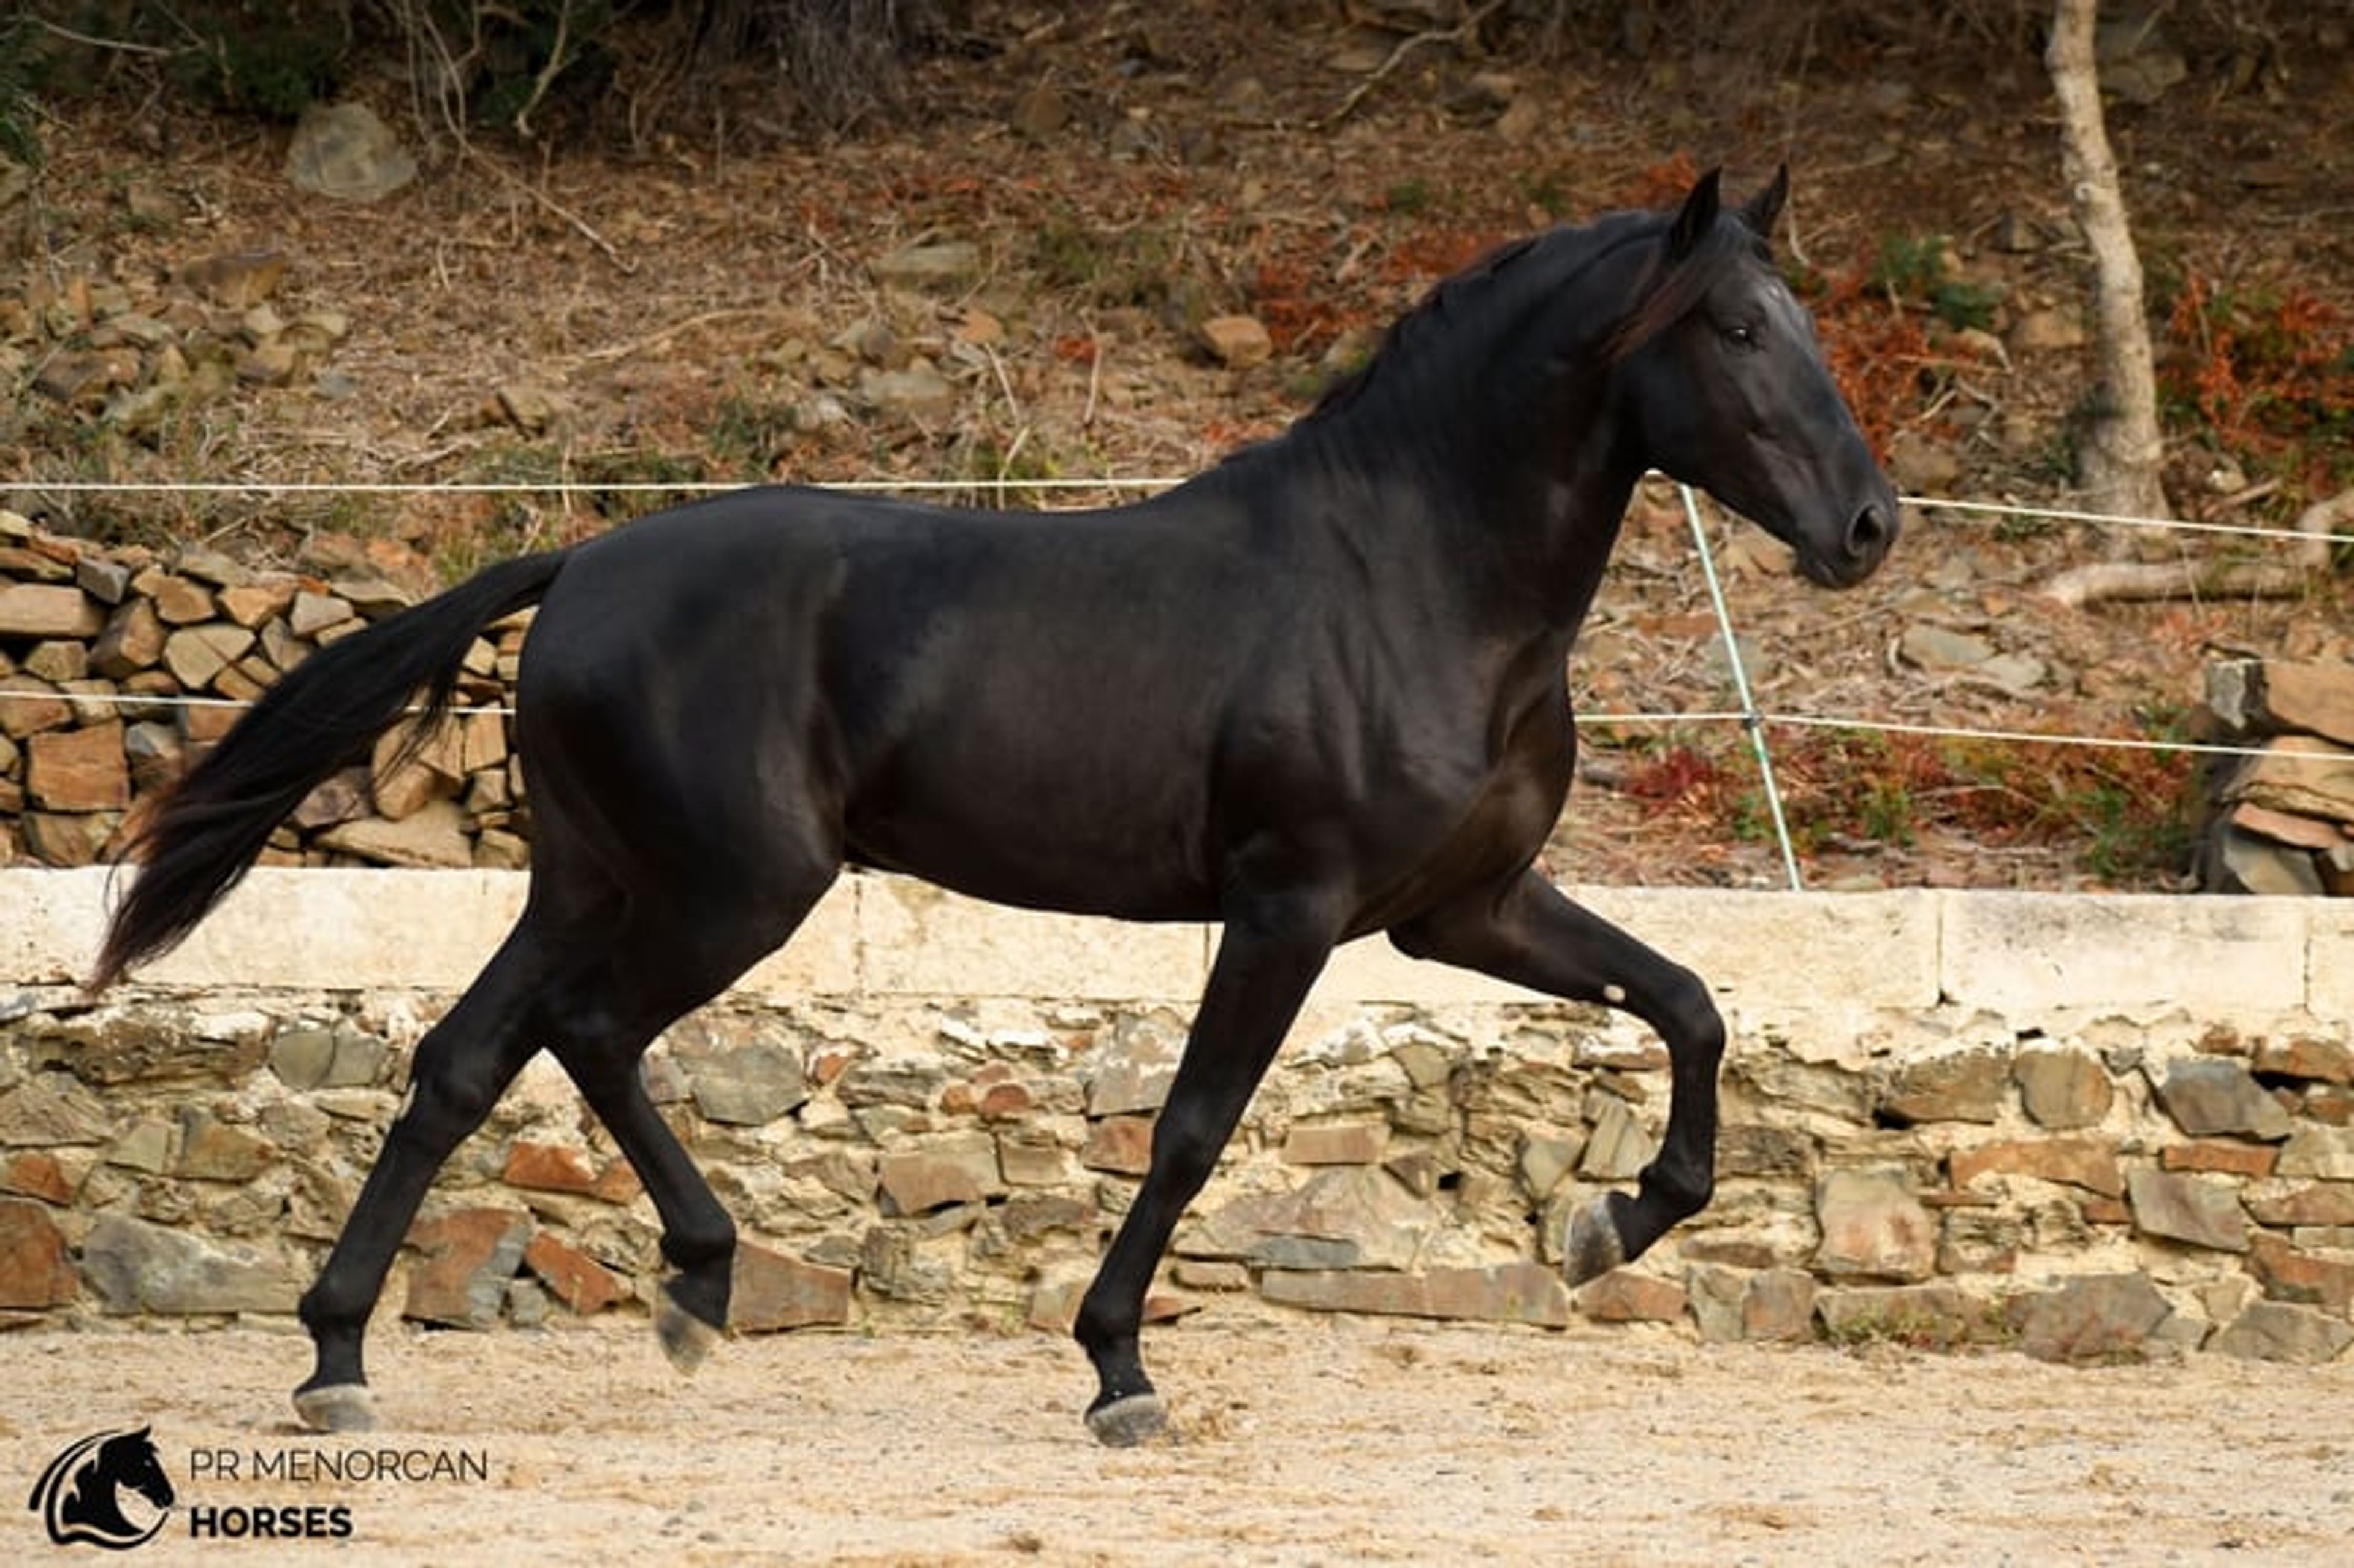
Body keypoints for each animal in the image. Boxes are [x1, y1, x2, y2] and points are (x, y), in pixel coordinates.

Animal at [93, 166, 1897, 1445]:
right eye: (1738, 331)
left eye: (1799, 320)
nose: (1869, 525)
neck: (1416, 579)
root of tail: (583, 562)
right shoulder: (1293, 902)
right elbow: (1191, 1127)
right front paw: (1118, 1374)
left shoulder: (1463, 909)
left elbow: (1690, 1002)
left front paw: (1617, 1222)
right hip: (733, 885)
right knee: (585, 1033)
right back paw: (675, 1291)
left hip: (595, 878)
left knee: (469, 1058)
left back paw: (351, 1353)